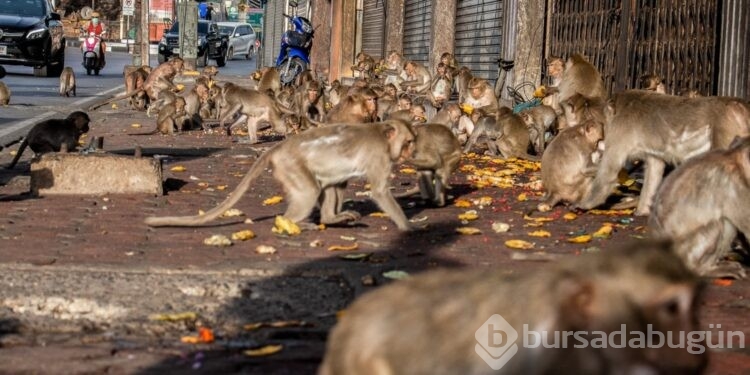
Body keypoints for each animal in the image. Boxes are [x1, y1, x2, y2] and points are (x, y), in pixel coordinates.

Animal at [144, 122, 420, 231]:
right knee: (309, 191)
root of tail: (277, 148)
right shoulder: (380, 157)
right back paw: (292, 223)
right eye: (408, 142)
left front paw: (333, 217)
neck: (383, 133)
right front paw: (408, 227)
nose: (412, 151)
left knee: (325, 184)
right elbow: (380, 191)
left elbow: (339, 183)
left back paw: (329, 219)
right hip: (290, 167)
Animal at [580, 89, 748, 216]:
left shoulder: (619, 131)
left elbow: (609, 170)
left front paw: (585, 204)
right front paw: (641, 210)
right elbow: (654, 167)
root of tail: (740, 105)